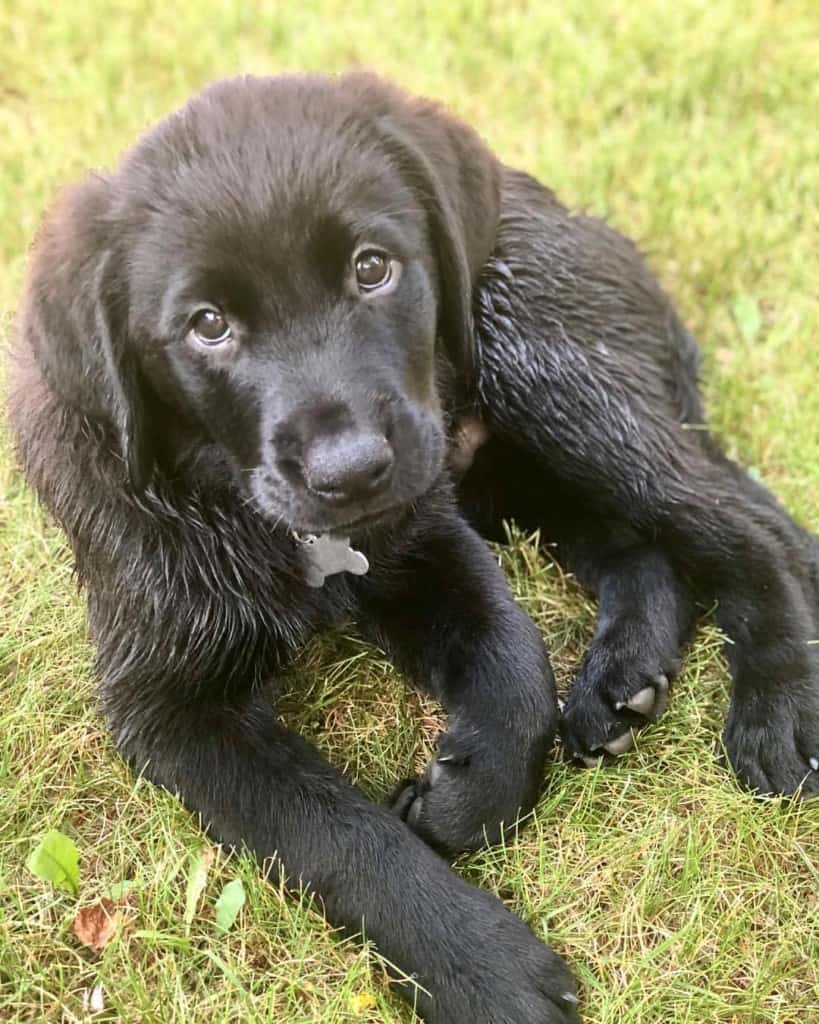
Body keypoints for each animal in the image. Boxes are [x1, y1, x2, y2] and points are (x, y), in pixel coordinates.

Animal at [7, 74, 818, 1024]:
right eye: (207, 325)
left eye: (371, 267)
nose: (352, 470)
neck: (234, 502)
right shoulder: (169, 702)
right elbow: (332, 831)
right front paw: (484, 969)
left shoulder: (424, 534)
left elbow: (513, 667)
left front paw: (468, 806)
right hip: (509, 469)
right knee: (641, 548)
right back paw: (618, 686)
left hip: (543, 370)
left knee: (747, 526)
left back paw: (778, 706)